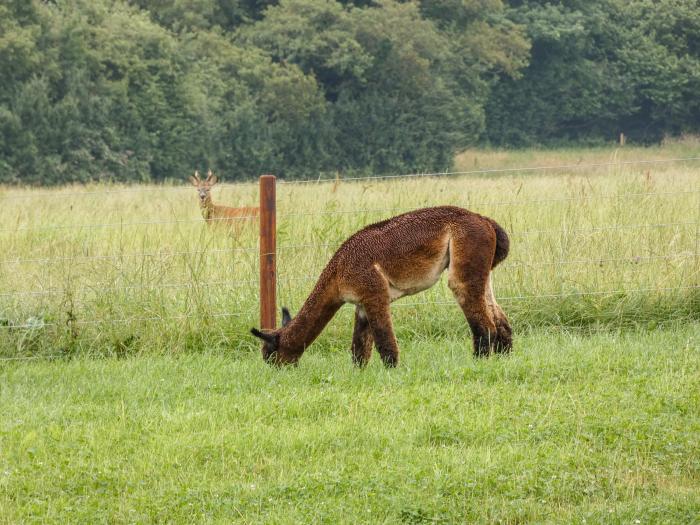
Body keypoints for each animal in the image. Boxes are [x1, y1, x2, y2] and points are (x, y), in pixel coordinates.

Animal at [249, 203, 512, 366]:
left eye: (270, 354)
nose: (276, 370)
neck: (337, 274)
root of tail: (485, 221)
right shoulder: (361, 303)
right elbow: (359, 349)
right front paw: (359, 375)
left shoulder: (373, 291)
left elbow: (385, 342)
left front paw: (392, 371)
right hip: (482, 268)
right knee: (501, 321)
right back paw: (504, 360)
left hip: (466, 253)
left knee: (484, 323)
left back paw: (479, 361)